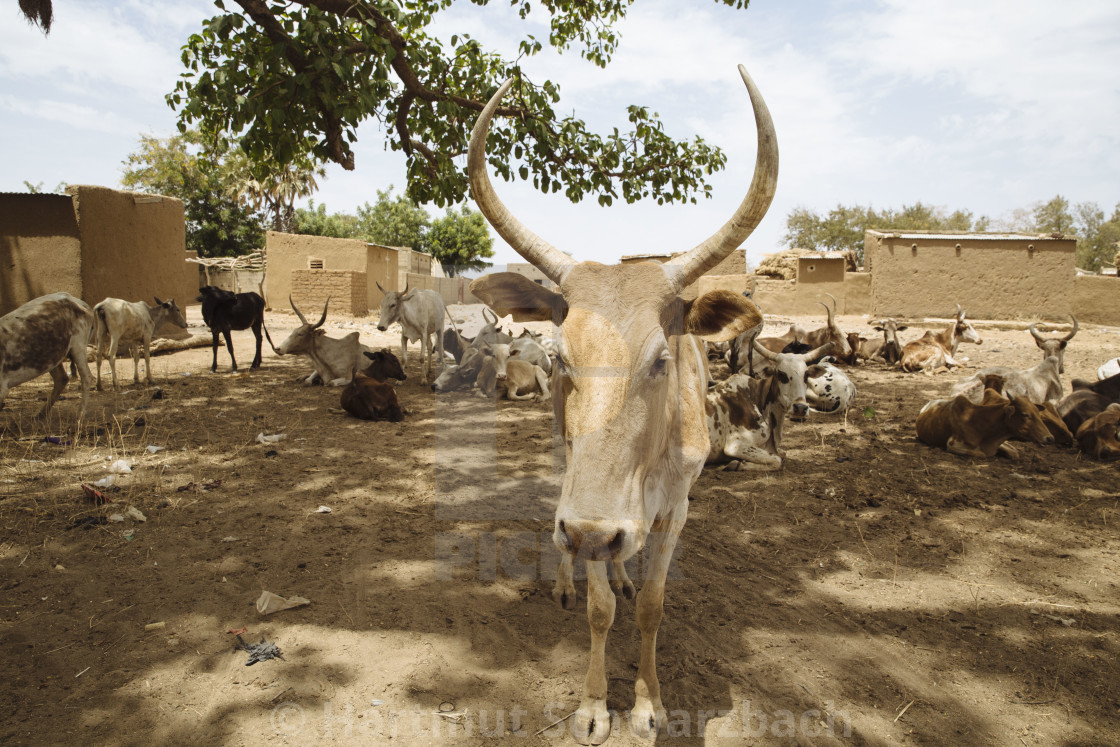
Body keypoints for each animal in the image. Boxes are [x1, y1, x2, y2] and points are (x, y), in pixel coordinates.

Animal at [0, 293, 94, 421]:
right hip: (53, 356)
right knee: (61, 379)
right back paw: (41, 414)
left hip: (78, 347)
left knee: (86, 377)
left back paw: (80, 414)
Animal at [913, 389, 1052, 459]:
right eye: (1025, 414)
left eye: (1038, 413)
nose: (1050, 438)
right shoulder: (952, 444)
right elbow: (982, 454)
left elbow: (1014, 454)